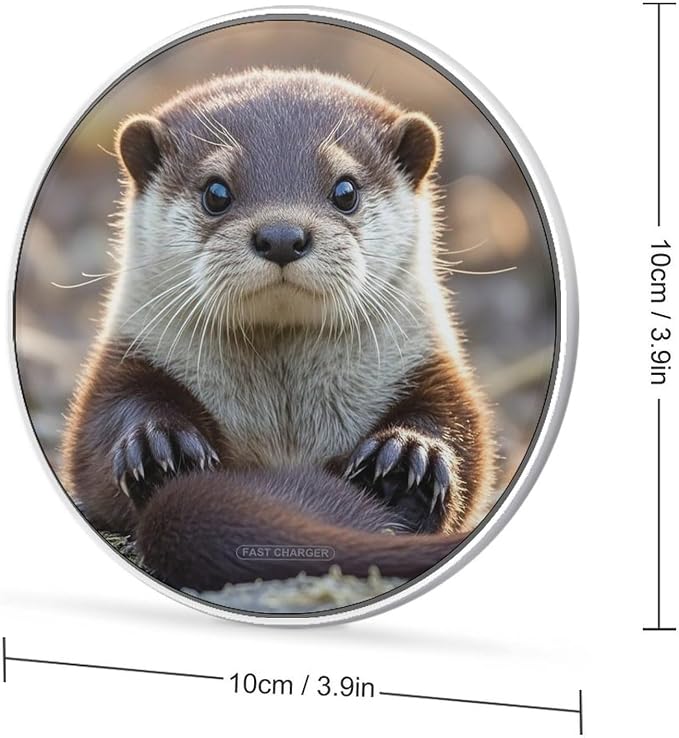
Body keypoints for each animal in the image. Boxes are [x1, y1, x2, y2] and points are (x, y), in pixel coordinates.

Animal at [62, 70, 495, 593]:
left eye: (345, 191)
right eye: (216, 192)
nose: (283, 236)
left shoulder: (428, 365)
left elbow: (462, 434)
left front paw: (413, 456)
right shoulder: (124, 360)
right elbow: (97, 437)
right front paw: (157, 444)